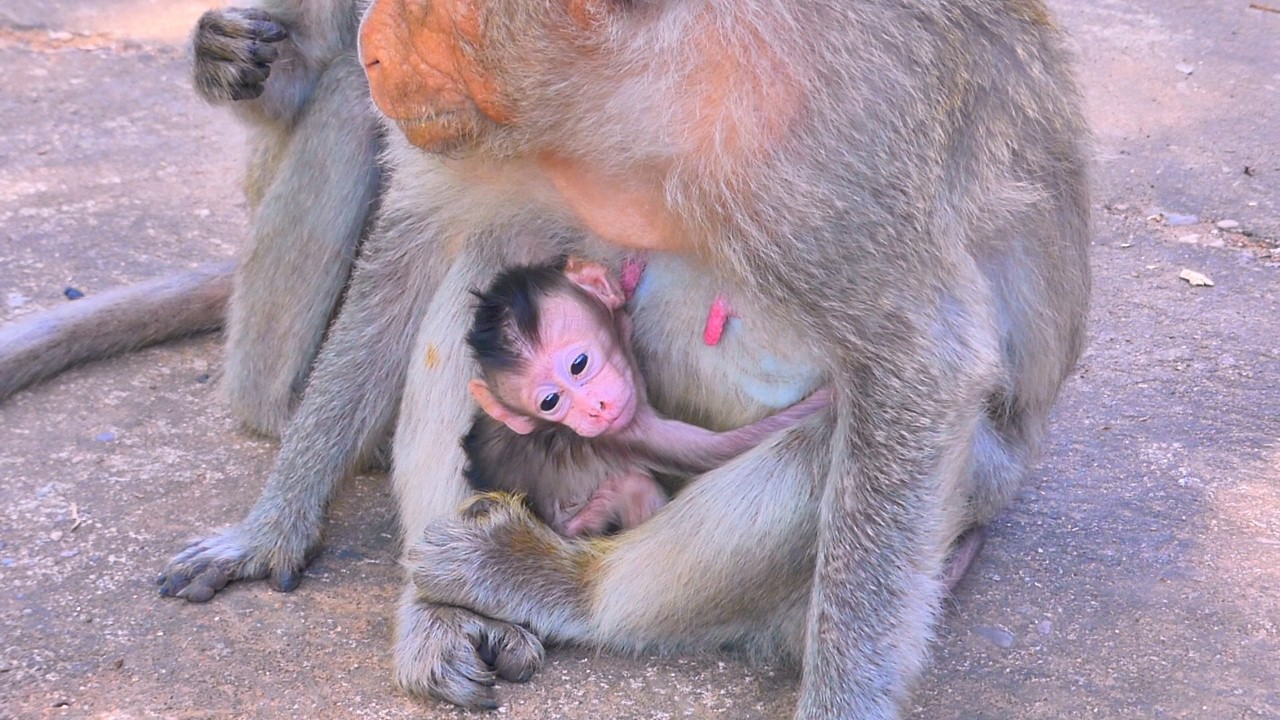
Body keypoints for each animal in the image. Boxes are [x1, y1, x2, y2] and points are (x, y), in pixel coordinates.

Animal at [462, 258, 832, 537]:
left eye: (579, 364)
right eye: (549, 402)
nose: (594, 410)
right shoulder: (623, 432)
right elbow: (712, 452)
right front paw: (832, 395)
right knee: (633, 486)